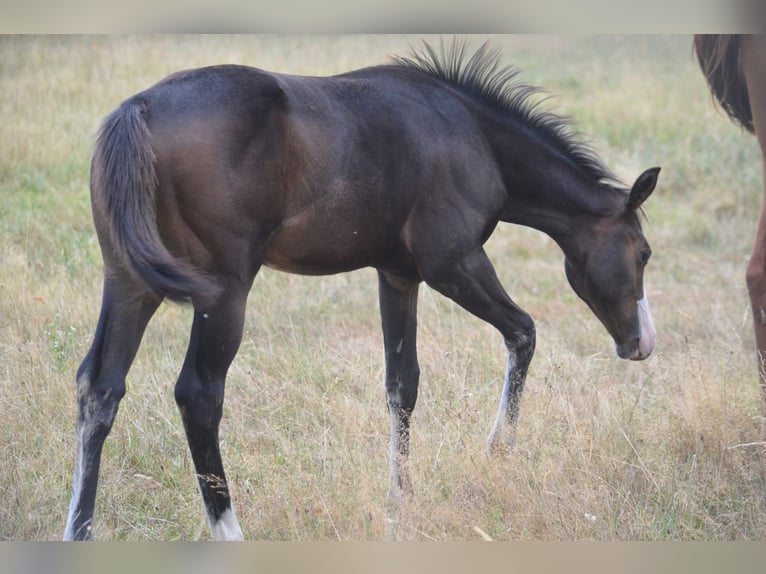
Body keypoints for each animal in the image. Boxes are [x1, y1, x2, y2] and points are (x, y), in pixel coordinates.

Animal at [63, 40, 659, 540]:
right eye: (644, 252)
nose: (641, 343)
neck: (471, 134)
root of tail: (139, 109)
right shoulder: (453, 264)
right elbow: (524, 333)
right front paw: (498, 451)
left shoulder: (398, 275)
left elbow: (402, 384)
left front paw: (401, 500)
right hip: (223, 293)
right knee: (199, 394)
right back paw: (230, 531)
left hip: (130, 282)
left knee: (101, 387)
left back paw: (79, 531)